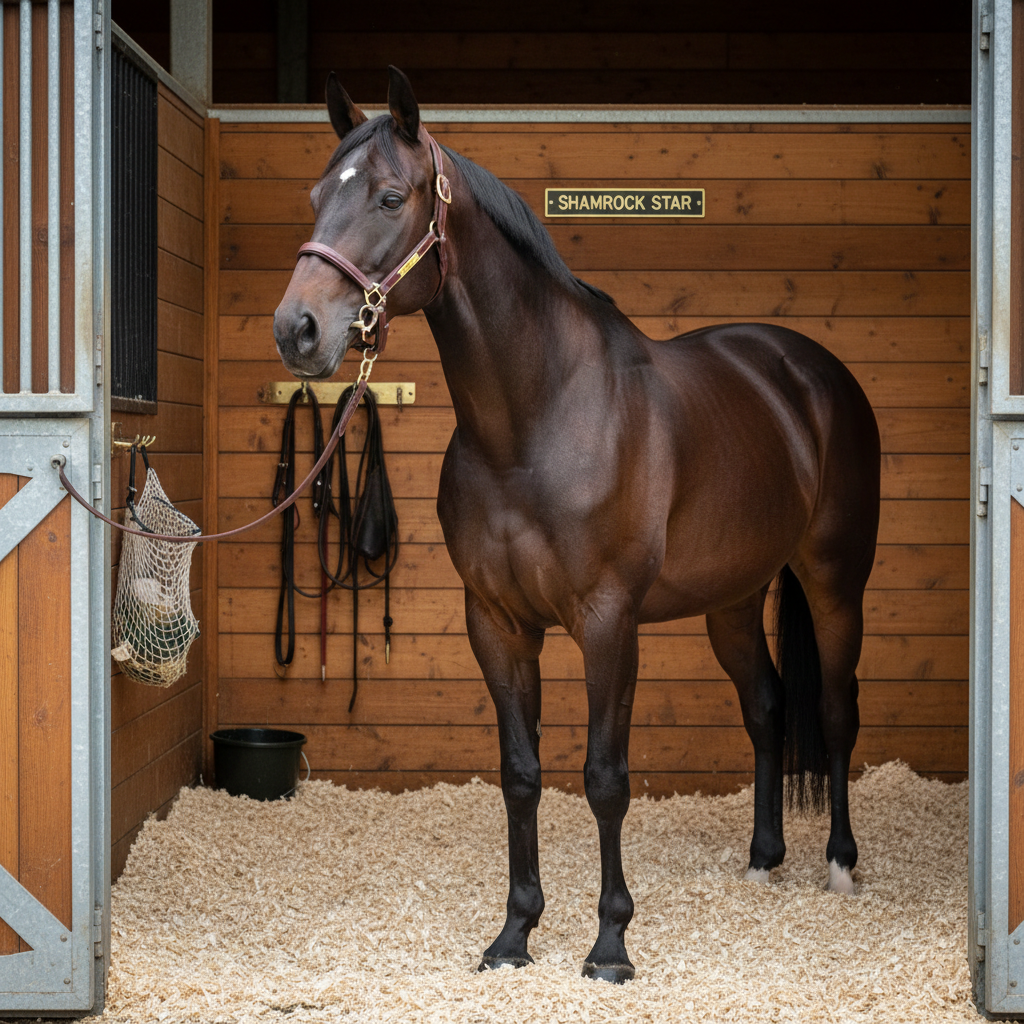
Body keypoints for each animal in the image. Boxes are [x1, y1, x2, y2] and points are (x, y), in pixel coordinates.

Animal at [273, 67, 881, 984]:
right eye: (314, 196)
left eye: (388, 196)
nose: (297, 329)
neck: (535, 421)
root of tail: (811, 372)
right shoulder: (496, 622)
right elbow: (521, 774)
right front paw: (514, 934)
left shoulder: (606, 622)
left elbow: (604, 778)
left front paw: (609, 946)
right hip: (733, 600)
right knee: (768, 705)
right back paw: (762, 859)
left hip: (836, 581)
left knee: (837, 711)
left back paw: (839, 865)